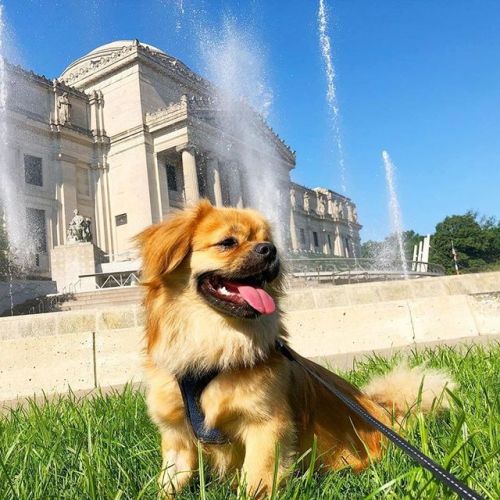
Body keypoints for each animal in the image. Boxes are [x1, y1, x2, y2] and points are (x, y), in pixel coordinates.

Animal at [136, 201, 454, 498]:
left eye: (267, 240)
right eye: (228, 242)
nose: (270, 250)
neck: (212, 345)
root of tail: (391, 416)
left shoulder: (266, 426)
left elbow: (255, 482)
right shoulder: (176, 437)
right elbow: (168, 484)